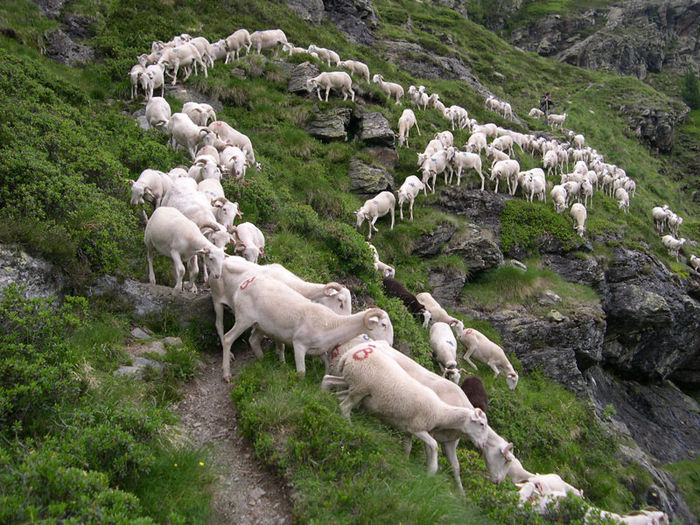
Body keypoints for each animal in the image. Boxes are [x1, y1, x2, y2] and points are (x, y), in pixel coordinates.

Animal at [322, 338, 486, 476]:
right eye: (482, 424)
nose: (482, 445)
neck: (440, 411)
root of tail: (350, 354)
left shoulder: (408, 429)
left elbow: (408, 447)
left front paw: (406, 461)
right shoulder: (418, 428)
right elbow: (434, 445)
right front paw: (431, 471)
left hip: (352, 382)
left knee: (328, 381)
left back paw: (322, 396)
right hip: (360, 387)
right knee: (344, 406)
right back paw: (350, 426)